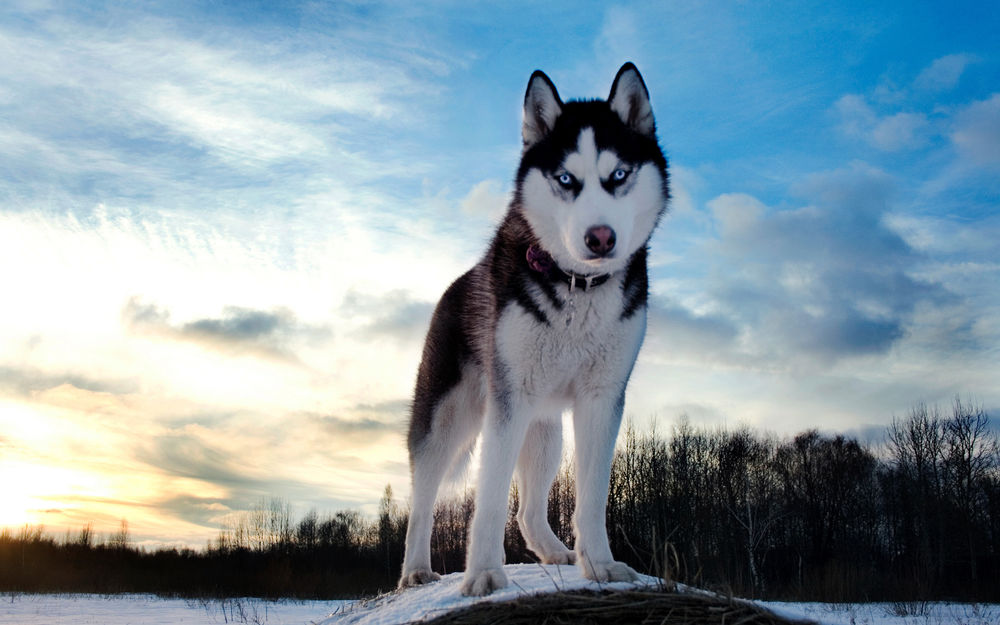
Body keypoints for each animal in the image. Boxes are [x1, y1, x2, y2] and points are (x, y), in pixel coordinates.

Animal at [396, 63, 664, 596]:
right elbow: (488, 499)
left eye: (618, 175)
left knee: (527, 509)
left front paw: (600, 565)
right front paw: (482, 573)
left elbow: (592, 497)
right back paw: (415, 569)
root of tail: (455, 285)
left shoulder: (602, 399)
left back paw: (553, 551)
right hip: (448, 419)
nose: (600, 238)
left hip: (544, 430)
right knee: (424, 499)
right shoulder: (509, 399)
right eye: (565, 179)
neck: (577, 287)